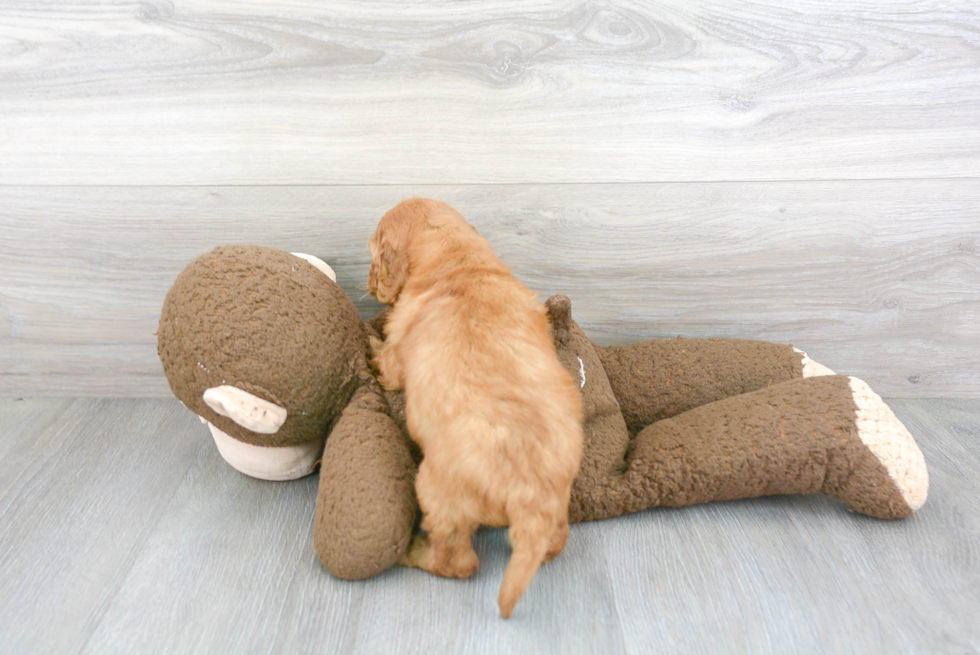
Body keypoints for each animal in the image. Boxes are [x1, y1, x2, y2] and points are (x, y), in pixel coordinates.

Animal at [368, 200, 580, 620]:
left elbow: (386, 360)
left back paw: (415, 552)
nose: (367, 285)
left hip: (437, 492)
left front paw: (370, 344)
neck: (458, 255)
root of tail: (533, 493)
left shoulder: (398, 355)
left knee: (458, 562)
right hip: (559, 500)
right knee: (557, 540)